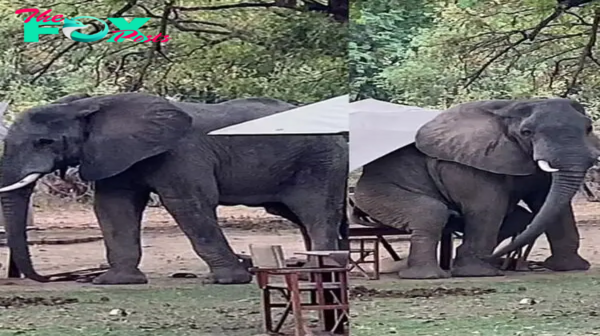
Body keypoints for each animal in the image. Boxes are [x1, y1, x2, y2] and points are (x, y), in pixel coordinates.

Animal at [0, 93, 346, 284]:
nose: (52, 278)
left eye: (43, 142)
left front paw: (228, 280)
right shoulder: (116, 154)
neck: (91, 104)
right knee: (300, 215)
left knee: (316, 212)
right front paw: (116, 282)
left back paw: (318, 273)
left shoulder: (181, 152)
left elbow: (188, 203)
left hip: (320, 161)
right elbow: (114, 206)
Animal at [354, 97, 596, 278]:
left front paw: (570, 267)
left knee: (520, 219)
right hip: (374, 194)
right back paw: (429, 275)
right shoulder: (467, 162)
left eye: (589, 128)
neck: (511, 107)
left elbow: (551, 204)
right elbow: (487, 207)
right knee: (431, 212)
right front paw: (477, 272)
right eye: (526, 132)